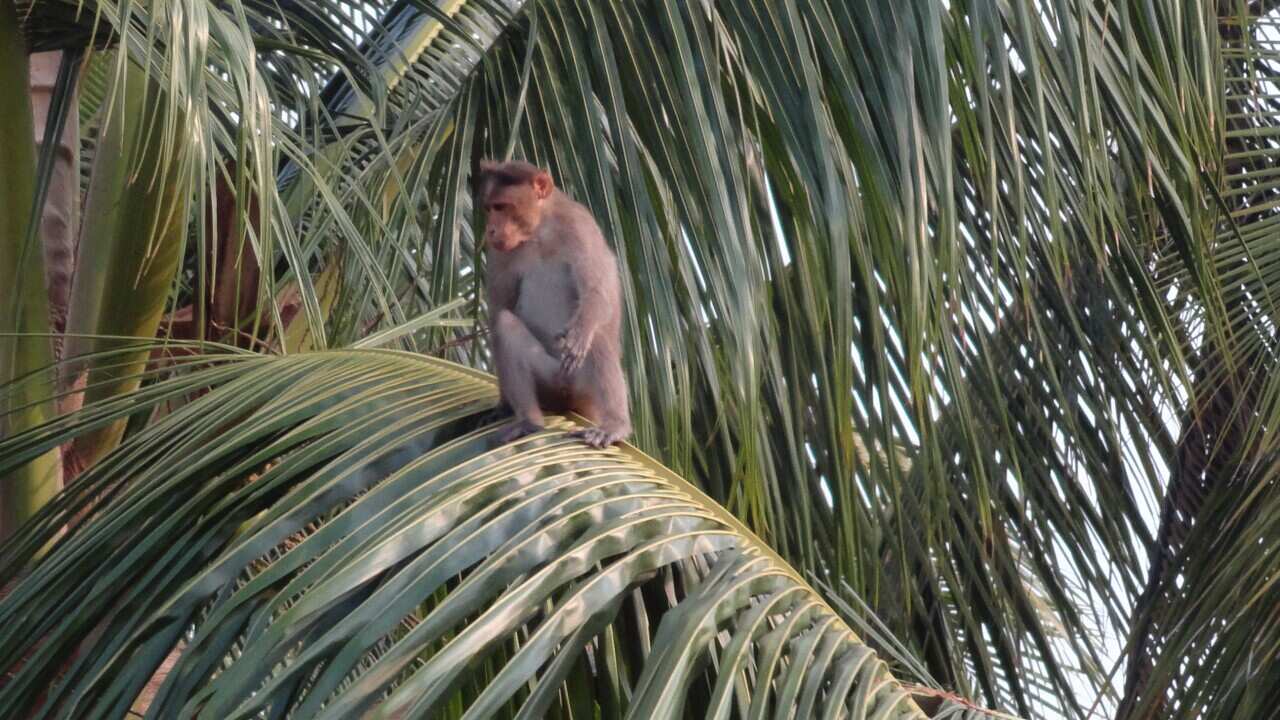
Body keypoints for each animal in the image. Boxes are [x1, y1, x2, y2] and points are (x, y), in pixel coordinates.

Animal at [475, 160, 632, 449]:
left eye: (501, 206)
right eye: (489, 208)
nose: (490, 230)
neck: (540, 233)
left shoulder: (580, 226)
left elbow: (597, 292)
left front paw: (581, 332)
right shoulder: (499, 253)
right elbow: (499, 311)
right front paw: (503, 405)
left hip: (583, 389)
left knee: (598, 339)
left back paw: (614, 425)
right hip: (548, 382)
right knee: (506, 324)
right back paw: (529, 421)